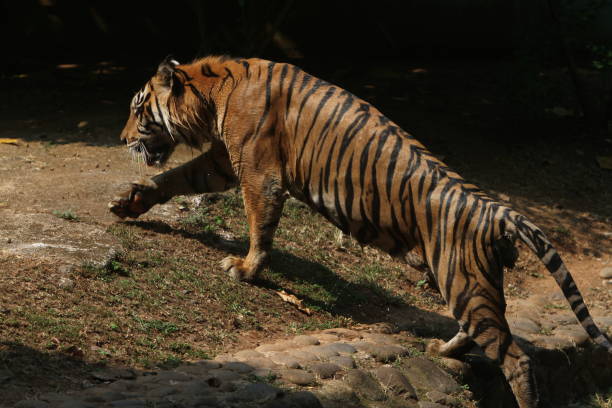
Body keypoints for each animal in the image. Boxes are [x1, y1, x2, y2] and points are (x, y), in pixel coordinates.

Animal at [110, 55, 612, 408]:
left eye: (138, 109)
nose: (120, 139)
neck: (214, 92)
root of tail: (499, 211)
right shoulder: (222, 161)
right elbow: (177, 177)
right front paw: (129, 201)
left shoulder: (257, 172)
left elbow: (259, 224)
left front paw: (246, 268)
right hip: (468, 283)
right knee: (484, 333)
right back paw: (443, 349)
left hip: (464, 281)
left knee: (516, 357)